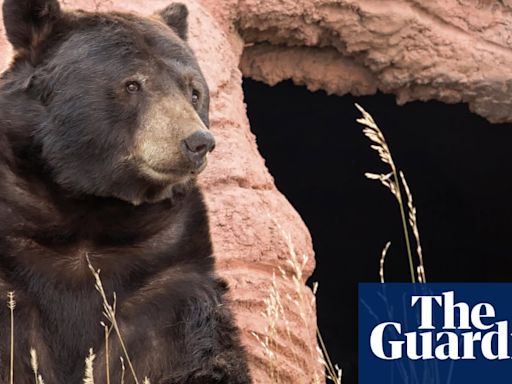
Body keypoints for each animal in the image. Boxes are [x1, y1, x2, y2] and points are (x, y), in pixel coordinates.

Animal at [0, 0, 251, 382]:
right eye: (133, 84)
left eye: (194, 91)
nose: (198, 142)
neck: (88, 208)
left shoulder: (166, 281)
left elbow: (189, 351)